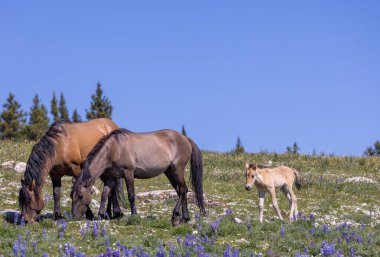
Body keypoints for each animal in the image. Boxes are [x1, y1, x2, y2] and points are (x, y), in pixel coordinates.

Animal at [69, 127, 203, 225]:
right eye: (71, 195)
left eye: (80, 196)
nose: (74, 216)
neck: (114, 149)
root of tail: (185, 138)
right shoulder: (111, 177)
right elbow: (104, 195)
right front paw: (101, 215)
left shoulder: (128, 173)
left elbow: (131, 195)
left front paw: (134, 215)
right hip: (169, 172)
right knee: (181, 191)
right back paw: (185, 218)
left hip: (178, 169)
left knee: (183, 190)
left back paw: (175, 216)